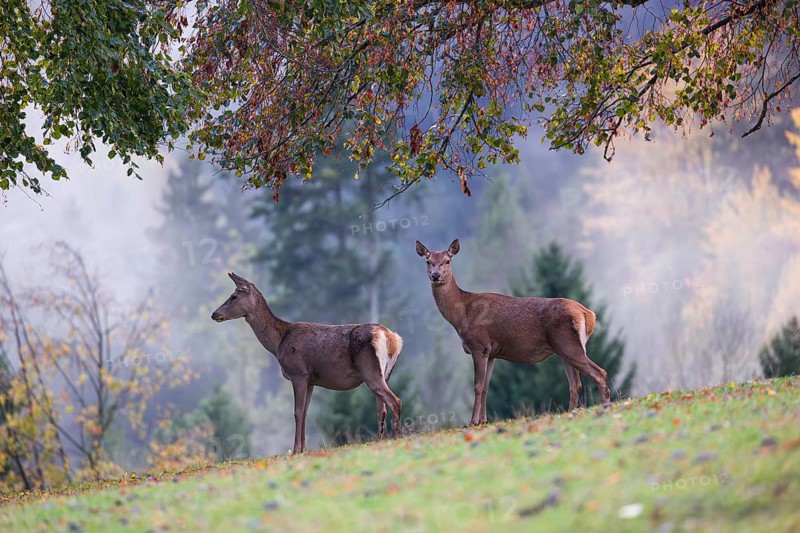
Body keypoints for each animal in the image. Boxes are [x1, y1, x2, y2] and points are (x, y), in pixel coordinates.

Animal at [211, 273, 404, 453]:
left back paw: (397, 437)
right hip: (386, 372)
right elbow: (304, 412)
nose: (214, 314)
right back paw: (380, 440)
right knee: (382, 408)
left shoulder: (298, 373)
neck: (278, 343)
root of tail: (392, 338)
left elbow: (297, 412)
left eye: (234, 296)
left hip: (370, 370)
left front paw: (295, 449)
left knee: (395, 401)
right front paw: (303, 448)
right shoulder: (311, 380)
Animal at [415, 239, 610, 426]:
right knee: (575, 384)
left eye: (447, 261)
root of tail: (588, 314)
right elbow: (486, 386)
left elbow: (477, 385)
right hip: (565, 349)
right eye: (428, 261)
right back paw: (570, 413)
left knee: (599, 373)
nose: (435, 275)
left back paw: (605, 407)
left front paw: (473, 422)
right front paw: (483, 421)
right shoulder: (491, 353)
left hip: (568, 344)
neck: (461, 314)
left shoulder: (479, 345)